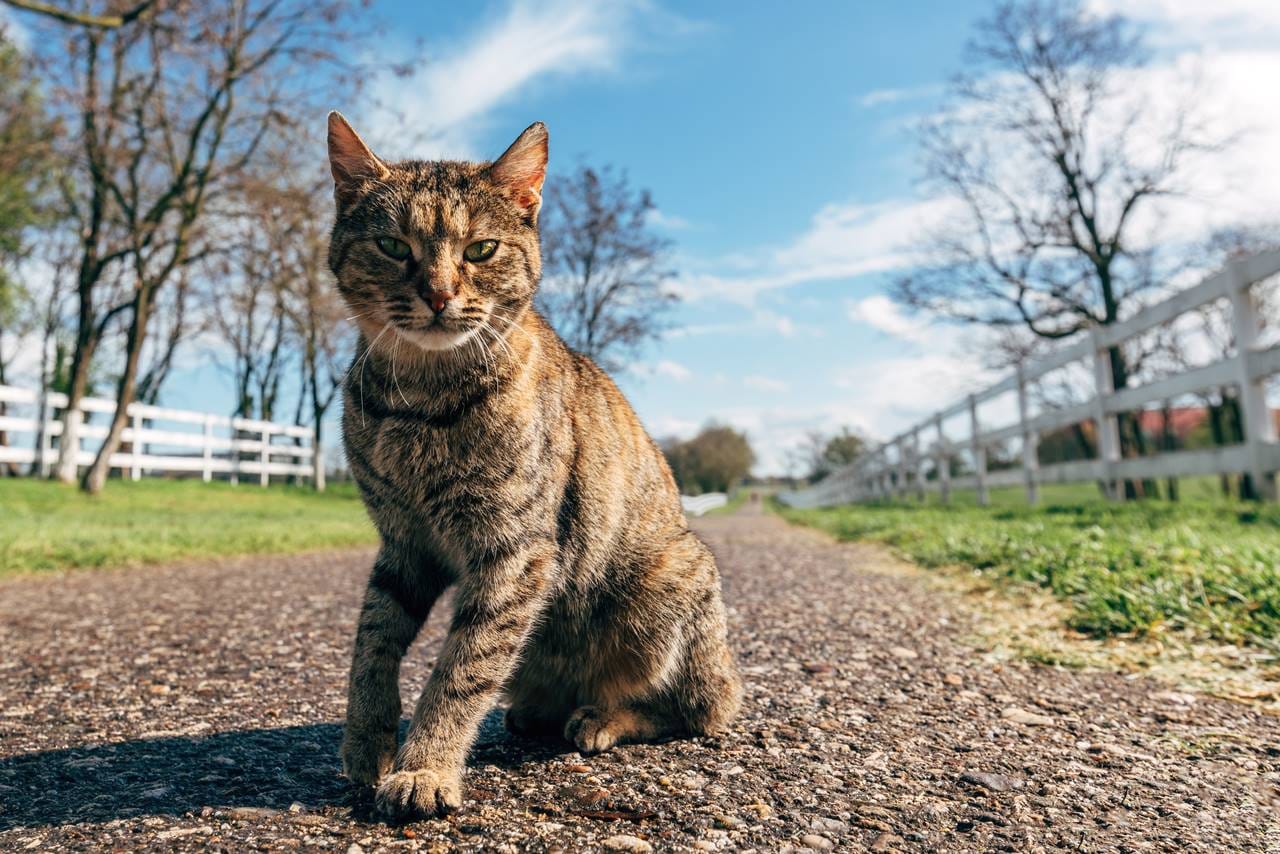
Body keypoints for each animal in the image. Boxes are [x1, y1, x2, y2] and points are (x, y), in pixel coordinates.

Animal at [327, 113, 742, 819]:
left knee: (698, 710)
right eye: (391, 245)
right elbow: (372, 643)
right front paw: (367, 740)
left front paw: (424, 765)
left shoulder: (516, 549)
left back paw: (600, 718)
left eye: (481, 250)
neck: (417, 398)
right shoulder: (403, 543)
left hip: (670, 583)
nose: (438, 294)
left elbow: (463, 665)